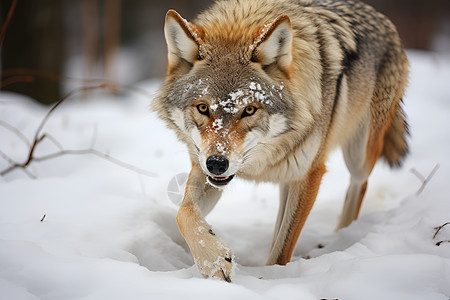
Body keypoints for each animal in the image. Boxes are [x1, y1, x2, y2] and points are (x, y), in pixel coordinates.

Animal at [153, 0, 410, 282]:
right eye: (202, 107)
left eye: (249, 110)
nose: (218, 163)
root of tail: (384, 19)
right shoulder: (204, 169)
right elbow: (183, 213)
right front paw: (214, 261)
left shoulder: (309, 175)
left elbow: (282, 251)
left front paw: (269, 281)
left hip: (358, 156)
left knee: (358, 185)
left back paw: (340, 240)